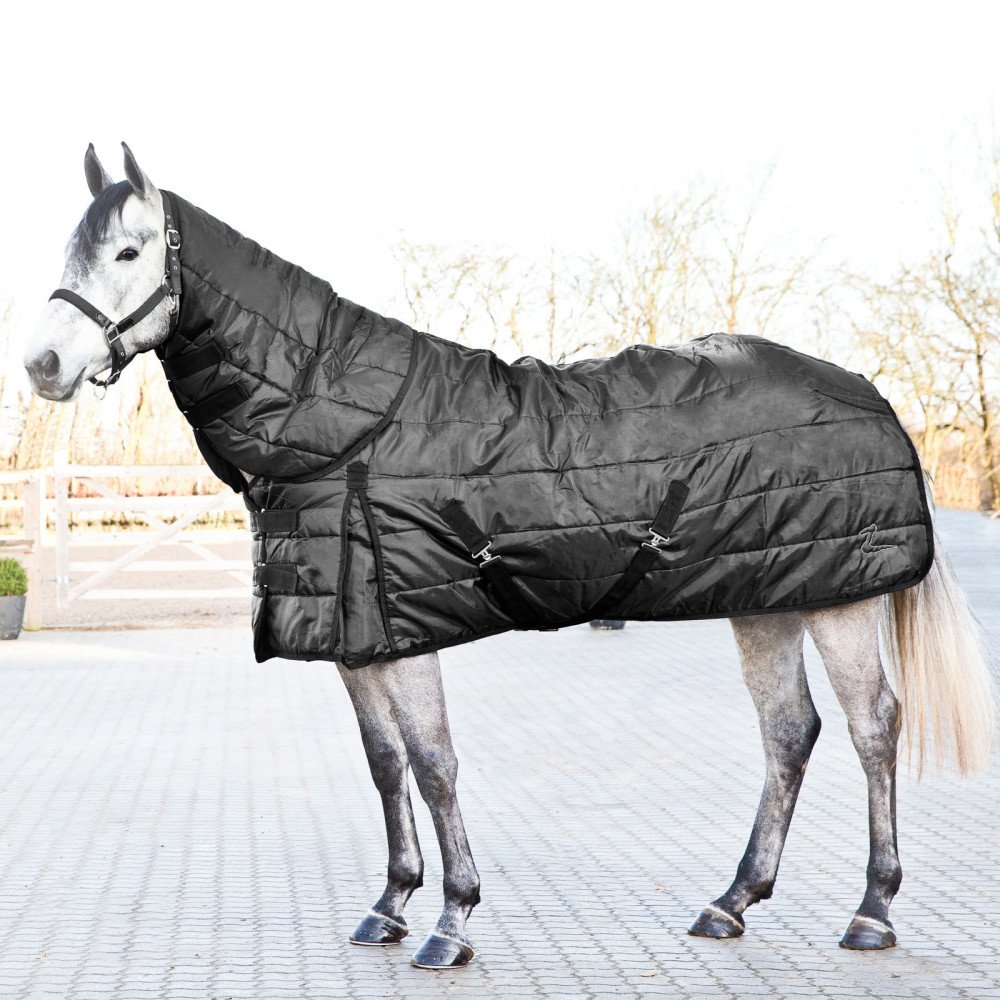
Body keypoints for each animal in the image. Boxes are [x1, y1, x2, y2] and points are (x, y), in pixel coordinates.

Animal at [22, 143, 996, 970]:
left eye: (128, 251)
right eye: (74, 250)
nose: (43, 363)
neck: (345, 424)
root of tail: (870, 392)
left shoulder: (403, 633)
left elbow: (434, 763)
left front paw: (451, 921)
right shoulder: (354, 640)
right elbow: (384, 764)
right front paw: (389, 904)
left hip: (840, 601)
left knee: (874, 727)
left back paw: (872, 913)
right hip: (765, 600)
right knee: (789, 732)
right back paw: (731, 903)